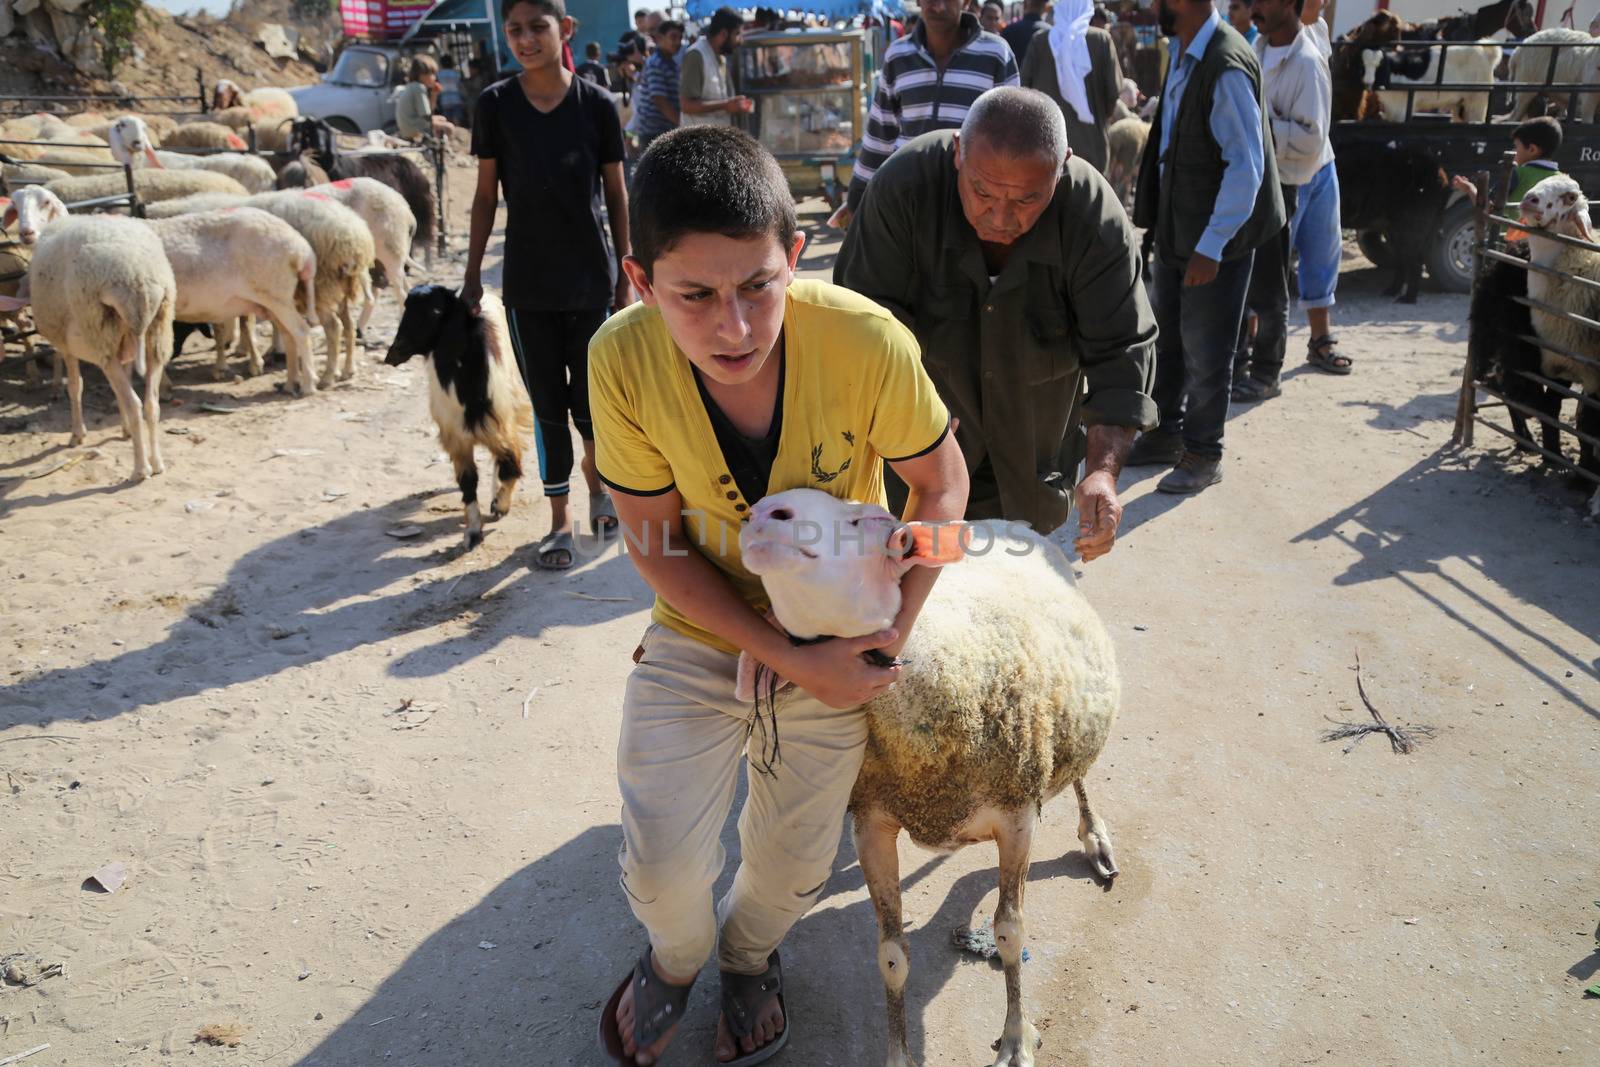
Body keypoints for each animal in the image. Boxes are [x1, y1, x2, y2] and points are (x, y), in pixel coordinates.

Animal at [0, 194, 175, 483]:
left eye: (45, 203)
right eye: (14, 205)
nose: (25, 232)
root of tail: (137, 278)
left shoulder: (66, 344)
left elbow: (76, 386)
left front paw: (77, 435)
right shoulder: (123, 343)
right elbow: (122, 386)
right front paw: (125, 430)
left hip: (99, 334)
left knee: (136, 404)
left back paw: (140, 469)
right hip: (156, 334)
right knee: (151, 404)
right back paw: (158, 463)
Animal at [384, 286, 540, 550]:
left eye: (436, 311)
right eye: (405, 307)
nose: (393, 354)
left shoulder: (501, 426)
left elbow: (509, 467)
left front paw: (500, 505)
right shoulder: (457, 438)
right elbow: (468, 482)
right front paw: (473, 532)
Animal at [732, 489, 1120, 1067]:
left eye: (870, 522)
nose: (761, 515)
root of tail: (1004, 519)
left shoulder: (1017, 815)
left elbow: (1009, 932)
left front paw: (1015, 1037)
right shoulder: (870, 823)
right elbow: (892, 955)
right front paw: (899, 1053)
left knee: (1078, 776)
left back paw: (1094, 835)